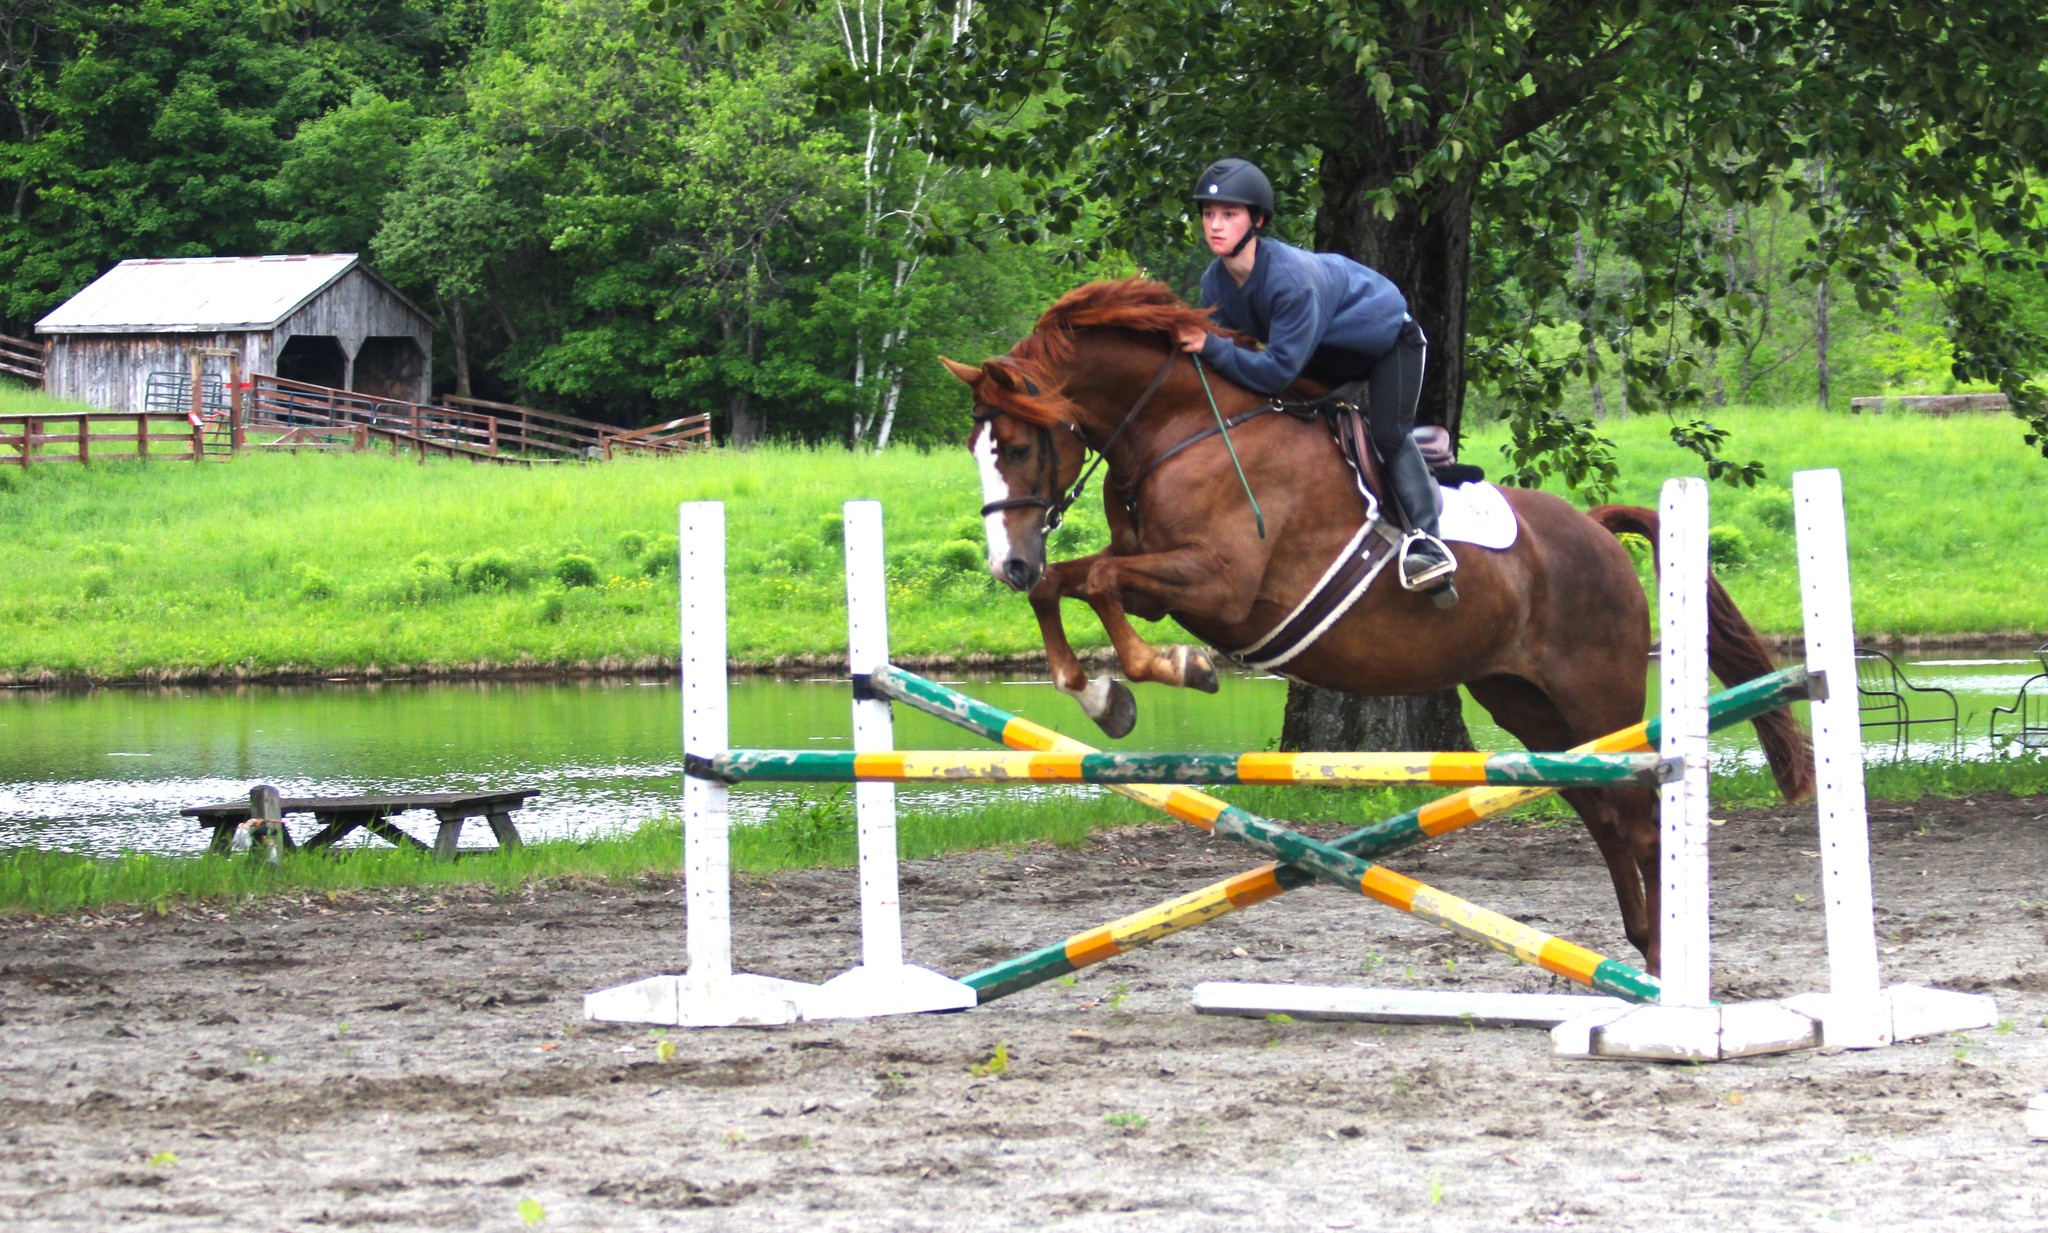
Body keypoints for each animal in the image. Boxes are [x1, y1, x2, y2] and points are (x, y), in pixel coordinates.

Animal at [939, 277, 1812, 973]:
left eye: (1018, 445)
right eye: (976, 448)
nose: (1005, 563)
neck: (1184, 427)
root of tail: (1596, 529)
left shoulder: (1220, 585)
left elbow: (1100, 582)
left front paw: (1164, 674)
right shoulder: (1159, 577)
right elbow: (1070, 583)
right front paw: (1097, 692)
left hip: (1595, 693)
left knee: (1639, 816)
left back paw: (1663, 962)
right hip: (1526, 704)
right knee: (1601, 812)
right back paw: (1635, 950)